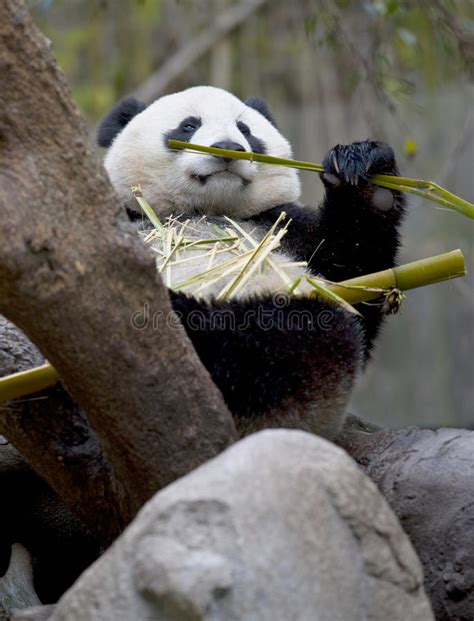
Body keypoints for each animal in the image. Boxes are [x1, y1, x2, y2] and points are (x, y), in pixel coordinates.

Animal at [96, 85, 404, 438]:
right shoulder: (130, 217)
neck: (208, 211)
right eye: (188, 126)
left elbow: (356, 277)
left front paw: (363, 170)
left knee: (286, 337)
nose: (229, 148)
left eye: (245, 130)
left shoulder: (282, 227)